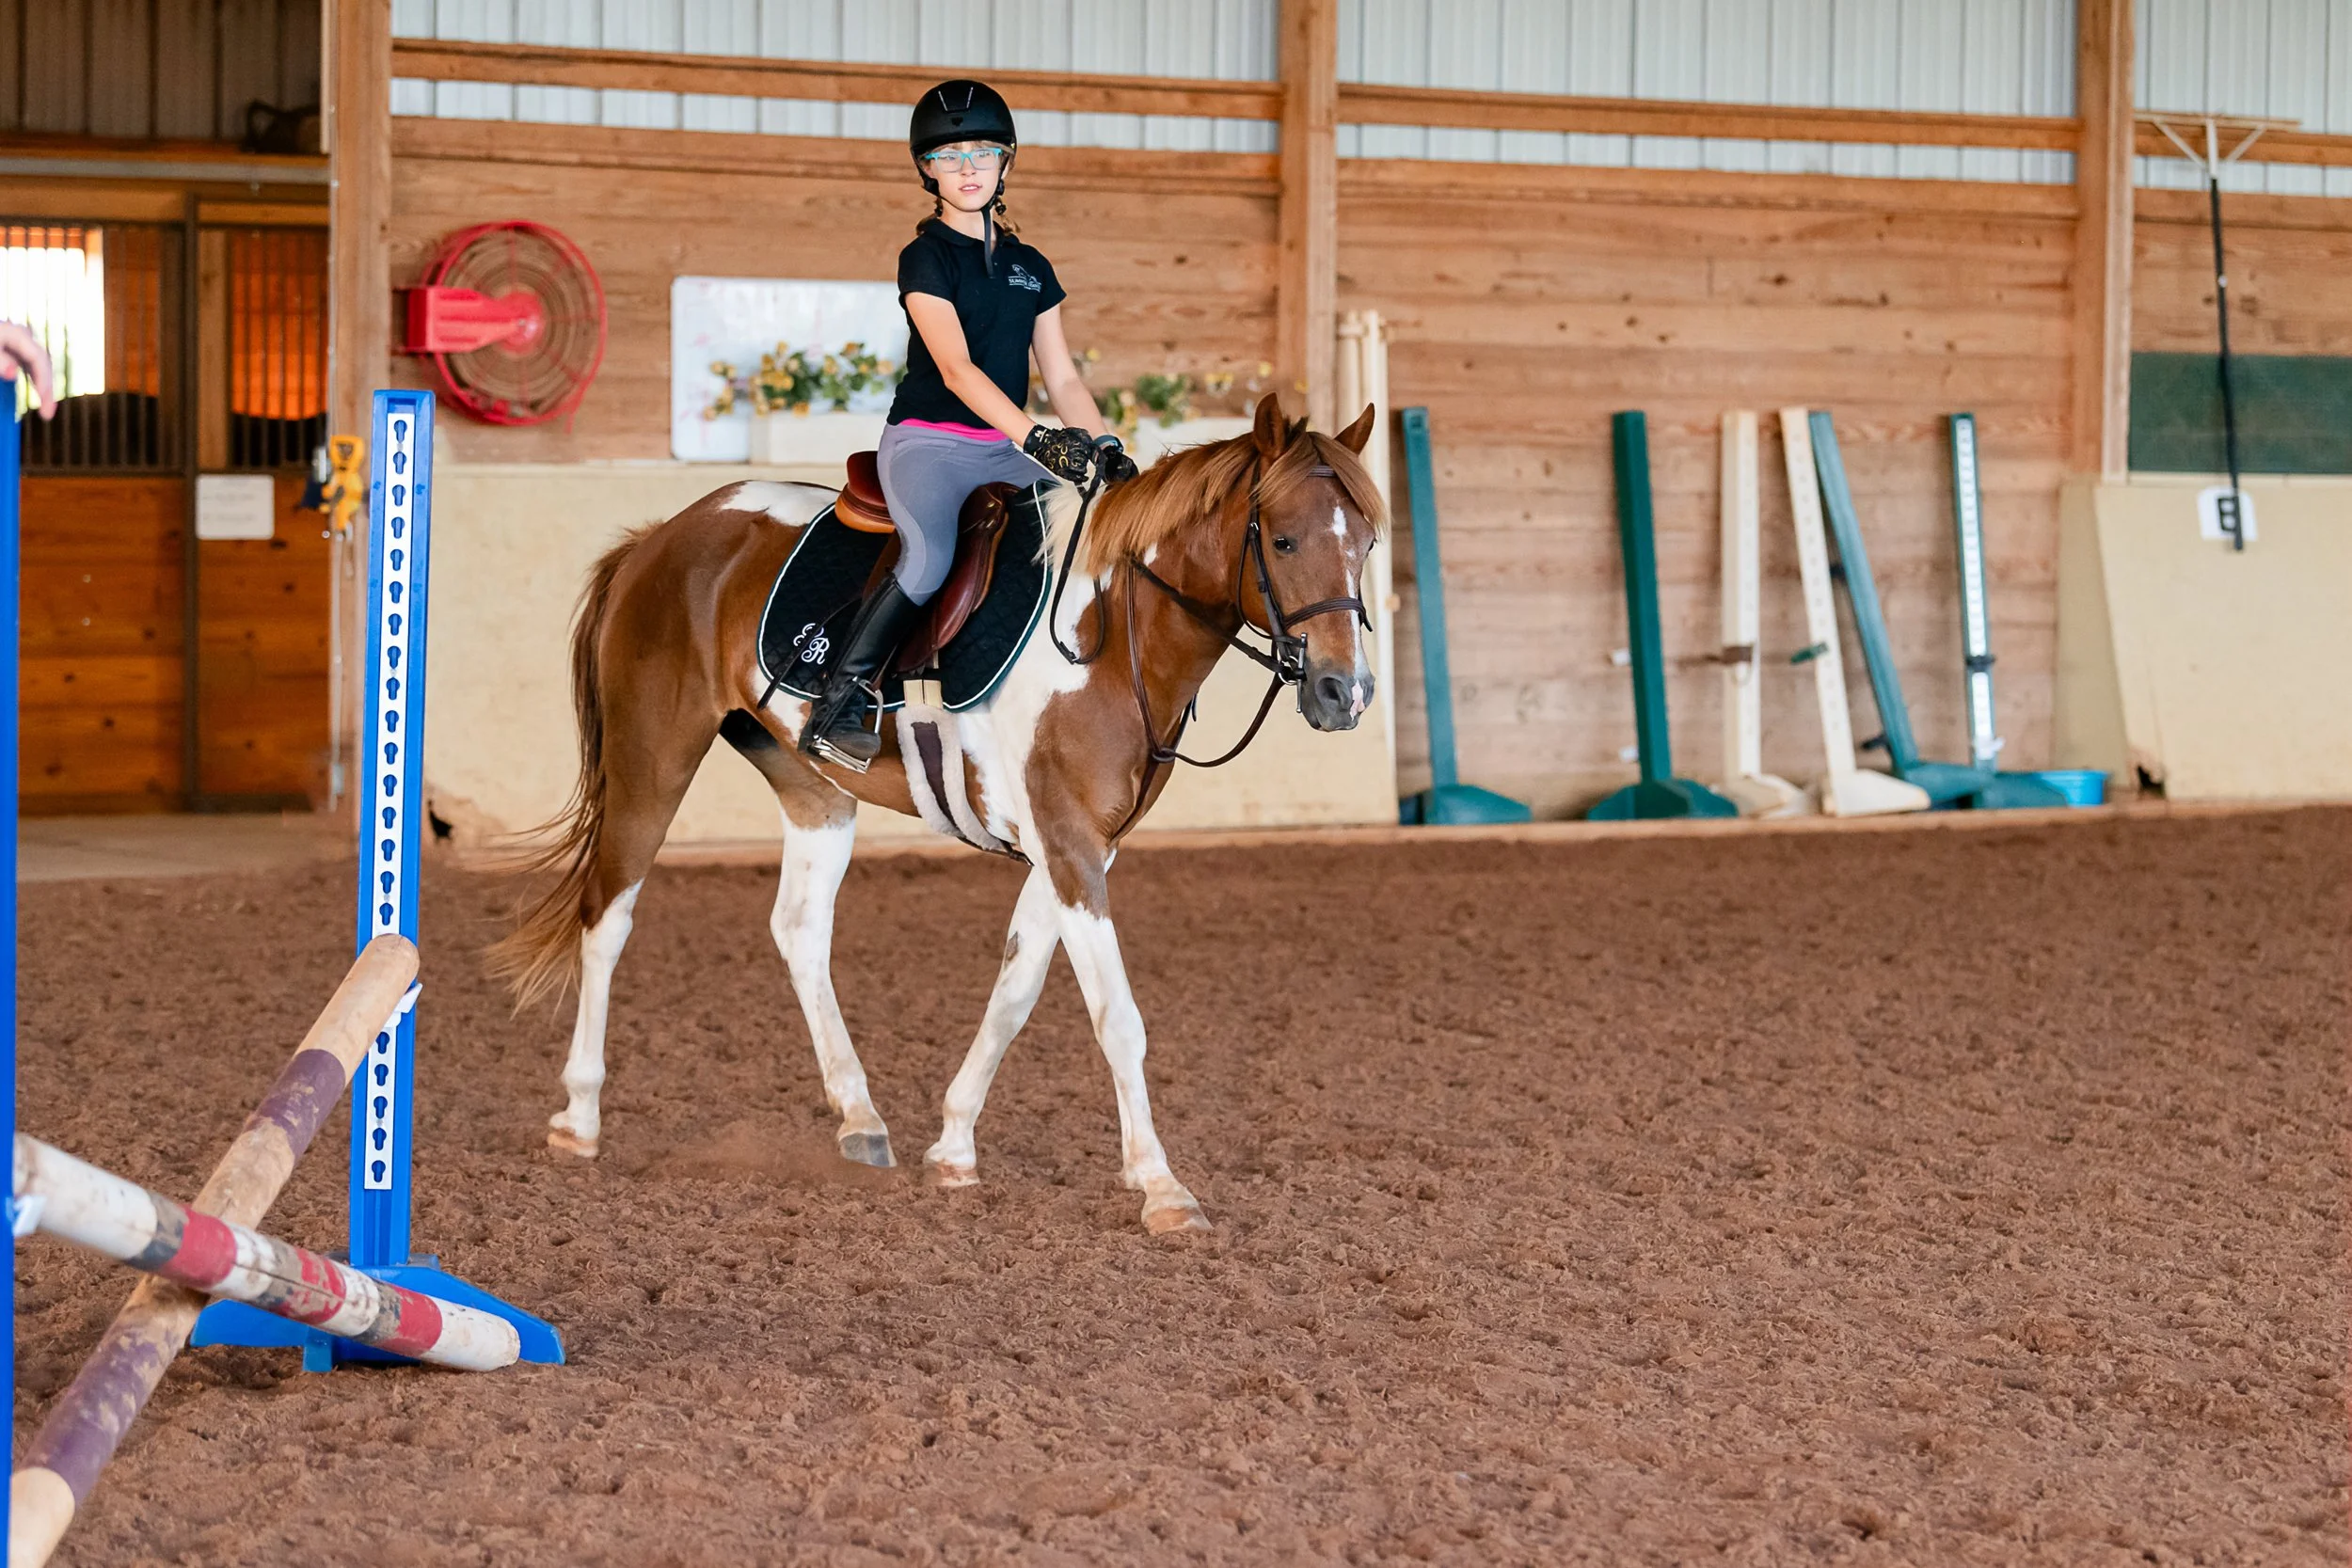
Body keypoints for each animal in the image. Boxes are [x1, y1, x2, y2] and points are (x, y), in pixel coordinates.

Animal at [491, 394, 1384, 1235]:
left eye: (1368, 543)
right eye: (1284, 542)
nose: (1344, 692)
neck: (1108, 632)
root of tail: (664, 533)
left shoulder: (1078, 847)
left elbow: (1016, 991)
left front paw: (954, 1147)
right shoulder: (1068, 843)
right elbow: (1117, 1017)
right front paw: (1163, 1188)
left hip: (812, 786)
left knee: (798, 928)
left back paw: (859, 1116)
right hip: (653, 755)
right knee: (607, 917)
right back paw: (579, 1116)